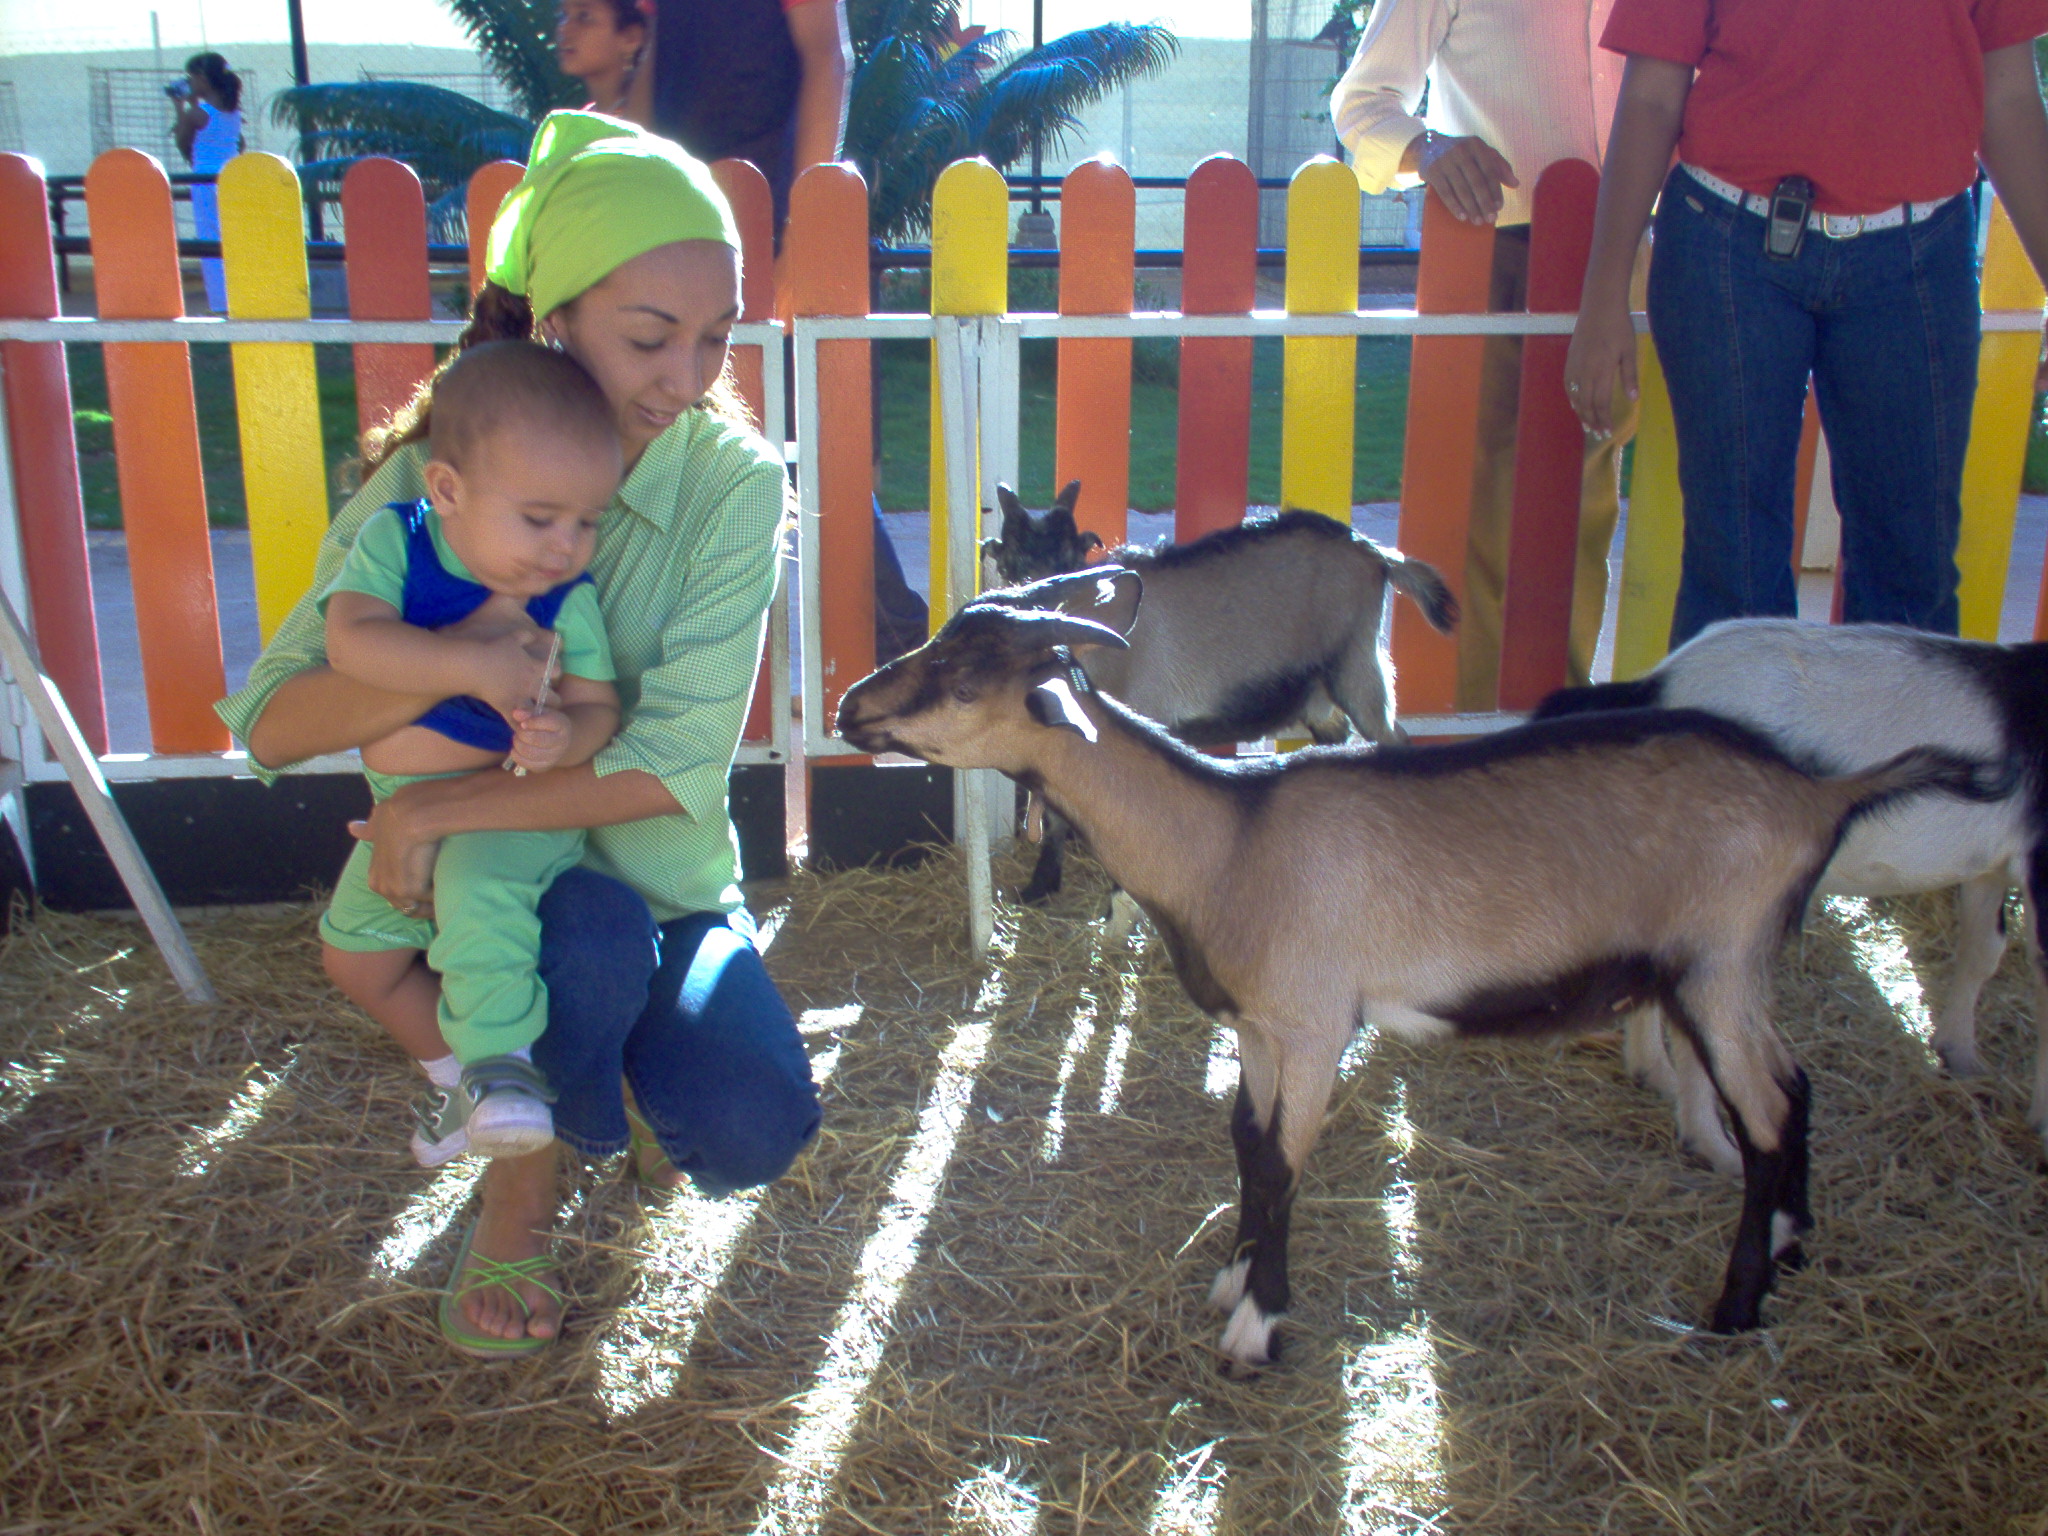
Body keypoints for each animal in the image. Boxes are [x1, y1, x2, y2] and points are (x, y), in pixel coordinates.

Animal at [978, 487, 1449, 909]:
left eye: (1069, 556)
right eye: (1010, 557)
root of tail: (1376, 553)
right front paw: (1040, 887)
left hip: (1356, 663)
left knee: (1391, 737)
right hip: (1318, 691)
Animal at [1540, 618, 2048, 1171]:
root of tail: (1657, 686)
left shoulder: (1990, 868)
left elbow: (1982, 951)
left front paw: (1963, 1058)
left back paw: (1658, 1079)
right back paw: (1717, 1148)